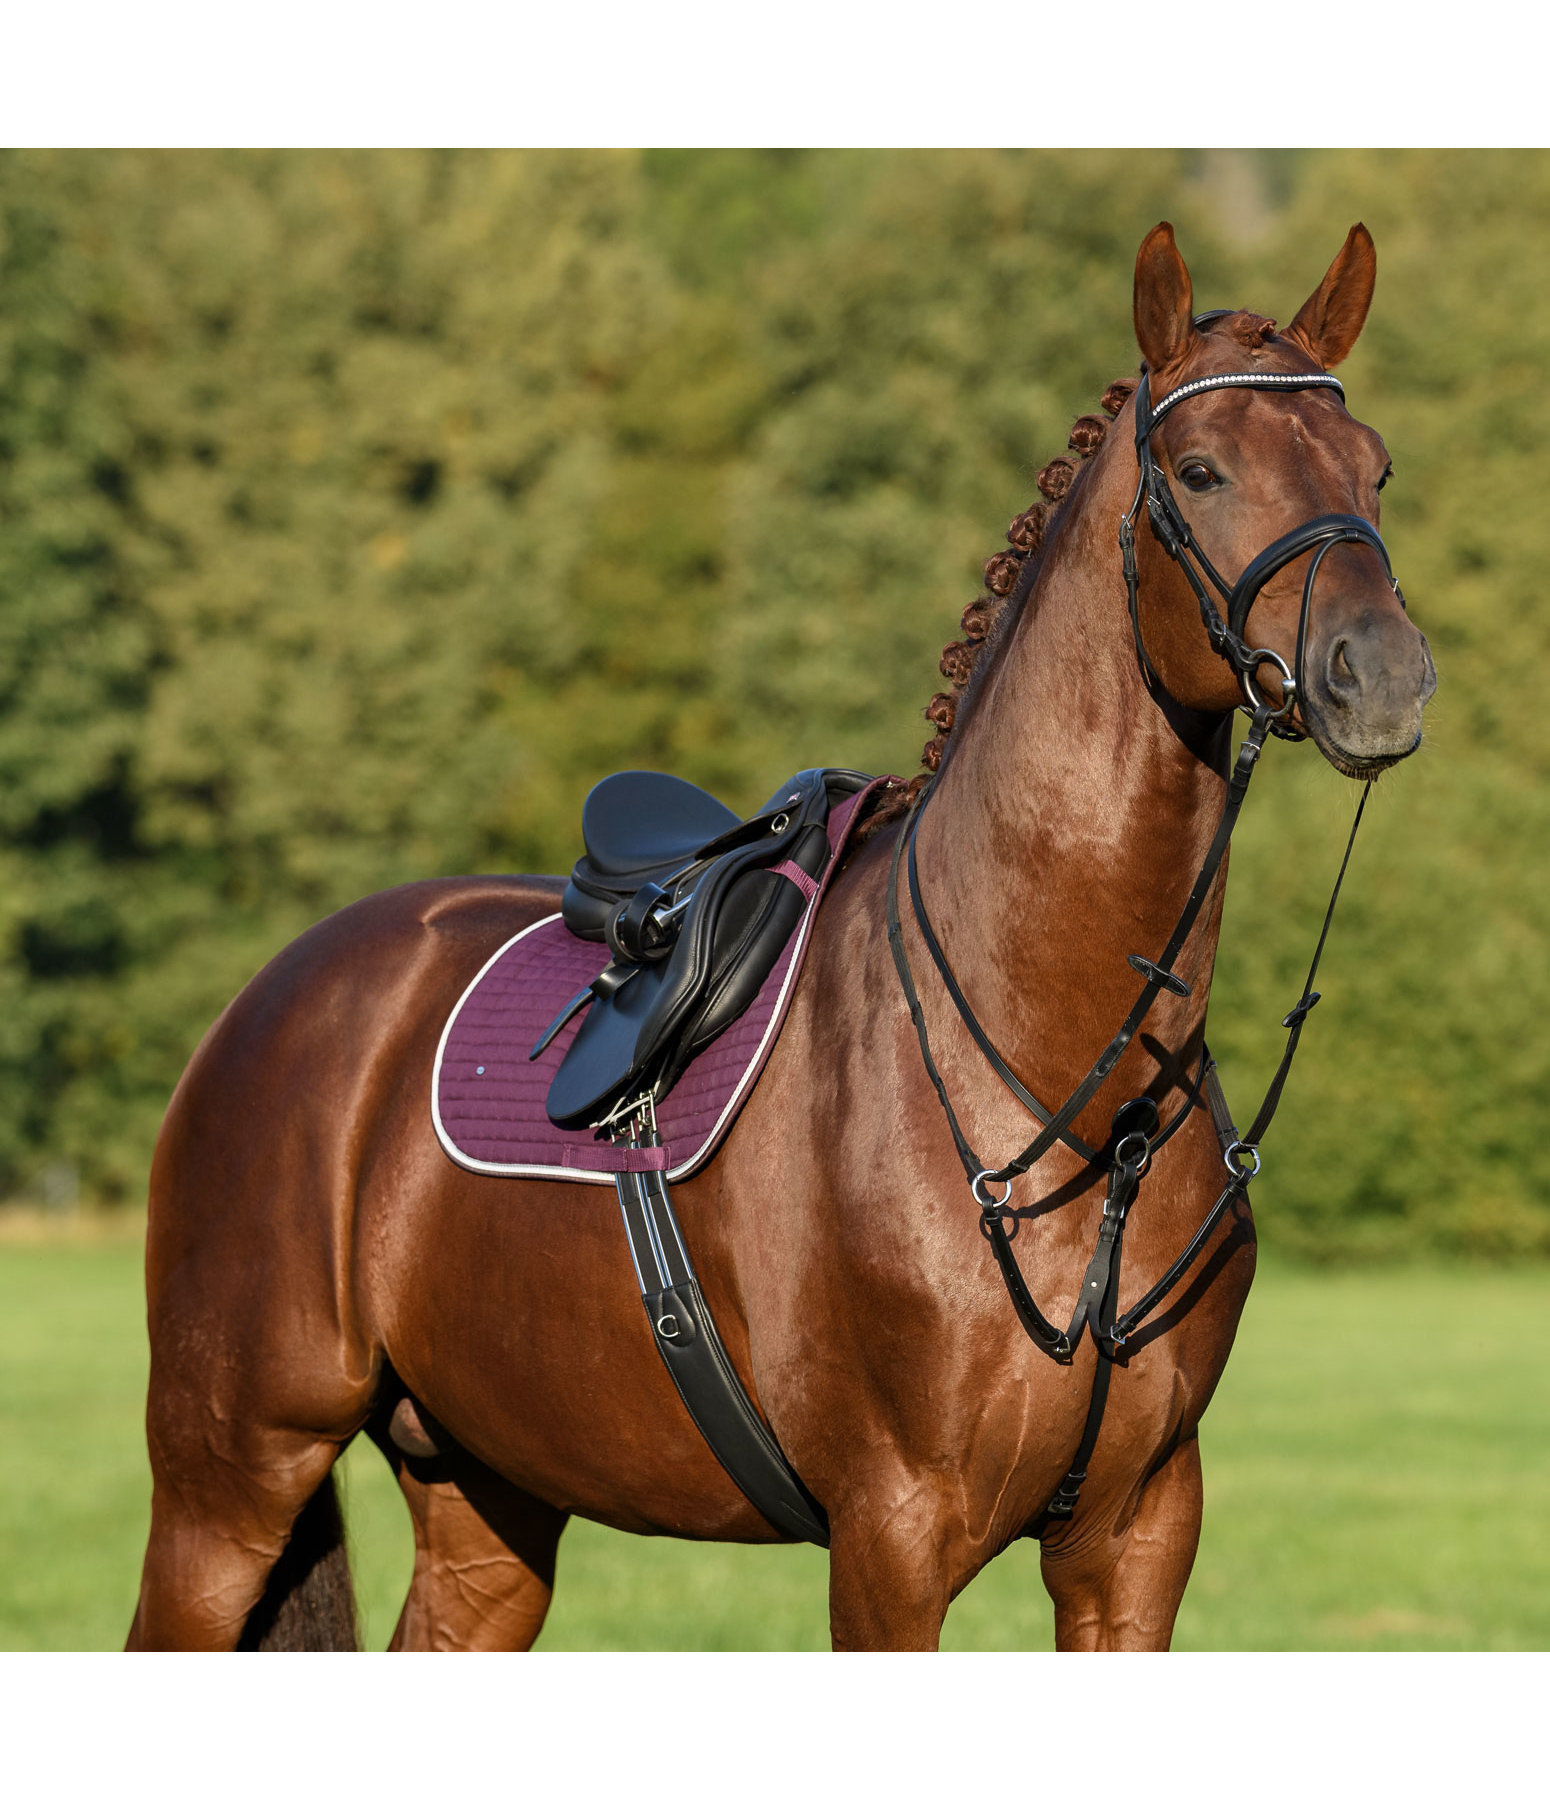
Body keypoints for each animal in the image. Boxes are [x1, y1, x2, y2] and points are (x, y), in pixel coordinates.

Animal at [129, 221, 1425, 1648]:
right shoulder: (891, 1541)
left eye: (1371, 466)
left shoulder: (1134, 1541)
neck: (1071, 1086)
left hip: (485, 1492)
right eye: (1198, 471)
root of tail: (273, 996)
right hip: (226, 1480)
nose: (1382, 675)